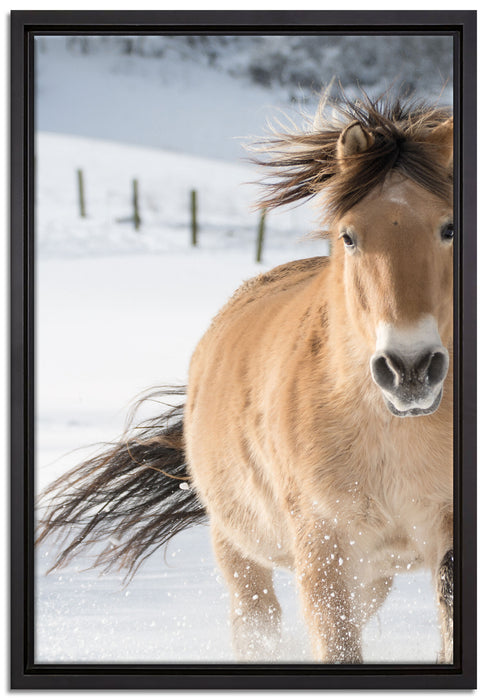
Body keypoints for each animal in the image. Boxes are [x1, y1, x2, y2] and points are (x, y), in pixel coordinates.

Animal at [37, 92, 454, 664]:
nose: (409, 369)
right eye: (349, 236)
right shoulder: (324, 549)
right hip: (239, 548)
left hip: (371, 573)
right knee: (258, 625)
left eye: (450, 228)